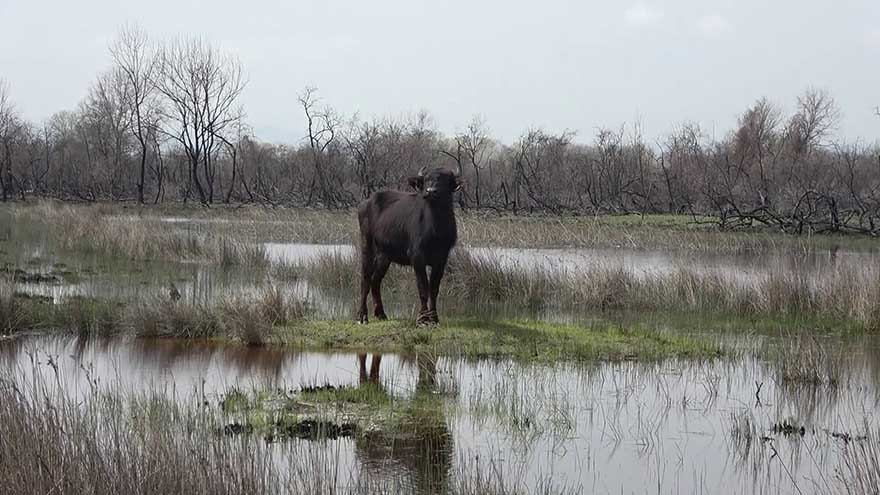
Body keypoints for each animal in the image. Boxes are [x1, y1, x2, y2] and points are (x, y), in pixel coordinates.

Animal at [358, 169, 464, 328]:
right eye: (426, 179)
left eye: (446, 180)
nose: (430, 191)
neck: (436, 229)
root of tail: (366, 203)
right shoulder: (417, 257)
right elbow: (423, 288)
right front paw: (423, 318)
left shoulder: (441, 259)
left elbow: (434, 289)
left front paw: (434, 318)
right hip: (367, 245)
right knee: (365, 280)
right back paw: (362, 316)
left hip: (384, 256)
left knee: (375, 281)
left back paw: (381, 313)